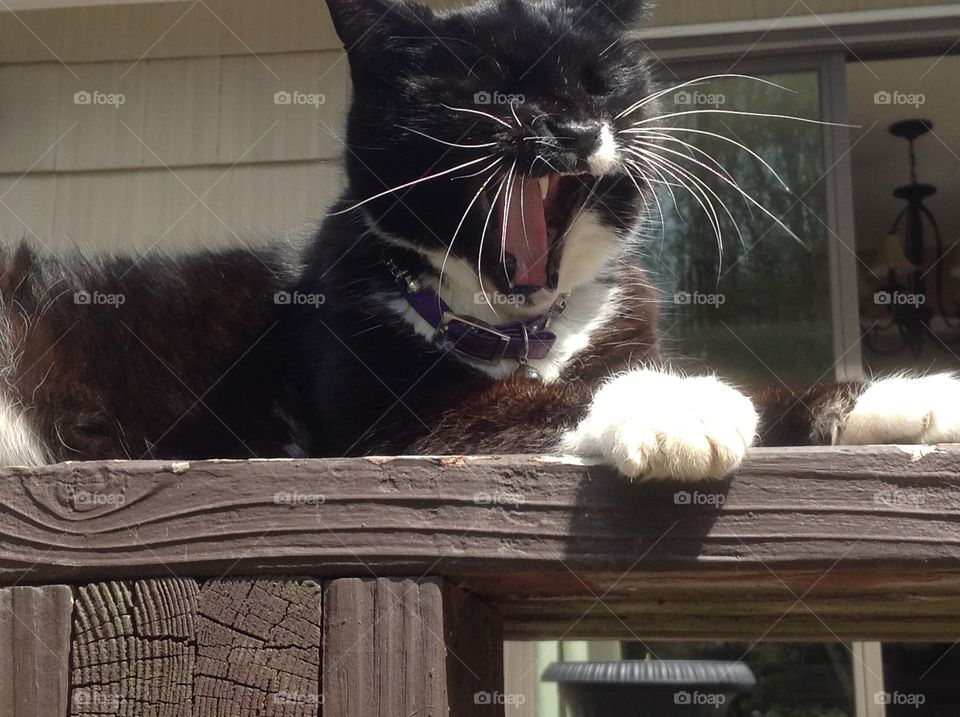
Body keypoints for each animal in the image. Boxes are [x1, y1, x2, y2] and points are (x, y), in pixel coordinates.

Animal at [1, 0, 960, 476]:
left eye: (602, 80)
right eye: (489, 89)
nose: (572, 126)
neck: (517, 326)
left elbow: (778, 389)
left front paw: (914, 397)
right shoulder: (392, 415)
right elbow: (534, 404)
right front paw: (677, 402)